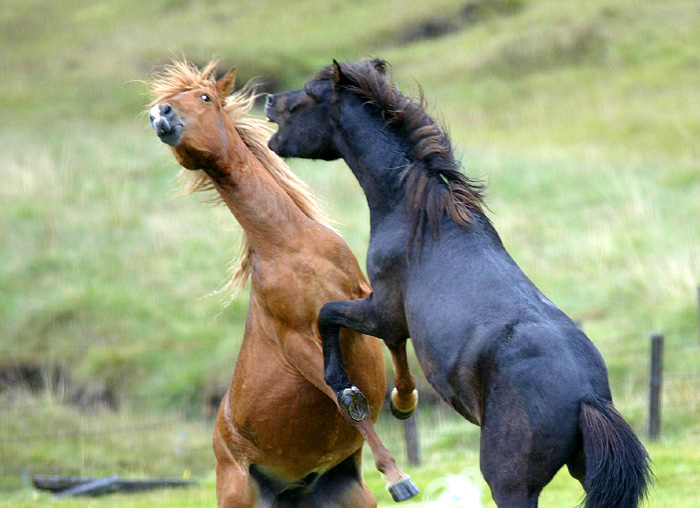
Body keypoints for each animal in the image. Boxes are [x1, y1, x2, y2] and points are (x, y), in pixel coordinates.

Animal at [146, 61, 418, 506]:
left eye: (205, 97)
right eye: (160, 106)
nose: (160, 115)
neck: (290, 247)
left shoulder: (365, 298)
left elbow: (395, 346)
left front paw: (404, 401)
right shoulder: (297, 342)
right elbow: (344, 398)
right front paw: (397, 476)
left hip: (351, 496)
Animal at [264, 60, 652, 508]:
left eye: (309, 95)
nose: (269, 101)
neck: (417, 216)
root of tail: (587, 396)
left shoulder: (383, 311)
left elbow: (329, 315)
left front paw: (349, 393)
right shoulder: (390, 317)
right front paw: (402, 401)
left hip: (511, 483)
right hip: (585, 470)